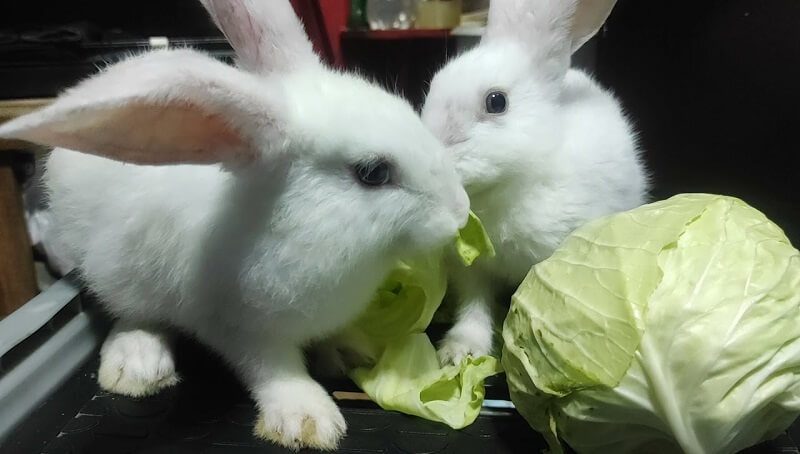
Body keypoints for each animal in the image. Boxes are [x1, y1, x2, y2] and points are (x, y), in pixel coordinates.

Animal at [0, 0, 472, 448]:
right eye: (373, 173)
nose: (461, 212)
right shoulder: (241, 329)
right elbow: (274, 370)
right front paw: (307, 420)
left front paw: (355, 351)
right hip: (115, 270)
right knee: (133, 314)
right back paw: (137, 364)